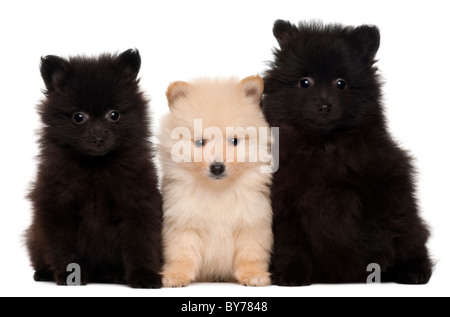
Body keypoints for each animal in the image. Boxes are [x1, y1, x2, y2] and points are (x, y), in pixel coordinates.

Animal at [25, 48, 163, 286]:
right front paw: (71, 275)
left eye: (114, 115)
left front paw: (144, 276)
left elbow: (141, 242)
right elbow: (62, 247)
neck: (96, 167)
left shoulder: (138, 203)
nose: (98, 138)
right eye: (78, 117)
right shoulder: (57, 205)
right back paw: (43, 273)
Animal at [160, 75, 272, 286]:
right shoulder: (183, 223)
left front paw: (253, 274)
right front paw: (176, 275)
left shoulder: (251, 222)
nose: (217, 167)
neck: (217, 189)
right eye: (200, 142)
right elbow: (181, 254)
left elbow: (250, 254)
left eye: (234, 141)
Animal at [264, 21, 432, 286]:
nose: (324, 106)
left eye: (341, 83)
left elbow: (376, 231)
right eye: (305, 82)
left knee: (413, 241)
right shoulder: (284, 201)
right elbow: (289, 241)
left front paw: (373, 265)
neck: (323, 145)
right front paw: (291, 273)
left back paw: (412, 271)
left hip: (409, 220)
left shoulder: (381, 188)